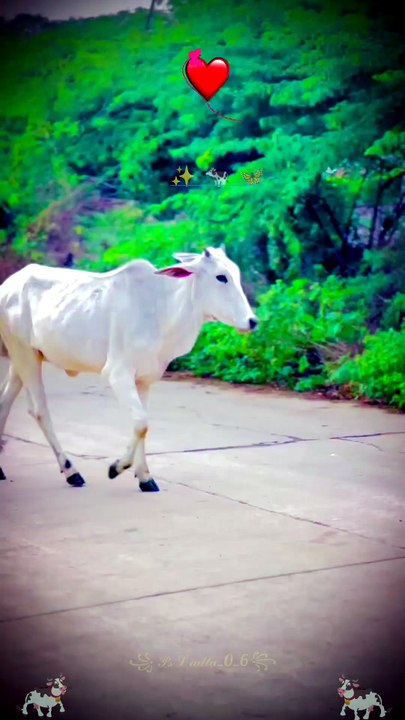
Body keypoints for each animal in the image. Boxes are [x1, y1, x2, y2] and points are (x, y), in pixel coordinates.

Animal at [0, 247, 258, 489]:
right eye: (221, 277)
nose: (253, 321)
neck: (162, 311)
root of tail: (8, 285)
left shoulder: (144, 379)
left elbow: (142, 425)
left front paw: (144, 477)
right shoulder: (118, 374)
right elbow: (141, 422)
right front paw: (117, 467)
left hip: (21, 359)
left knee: (5, 401)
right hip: (25, 355)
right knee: (40, 410)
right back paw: (71, 471)